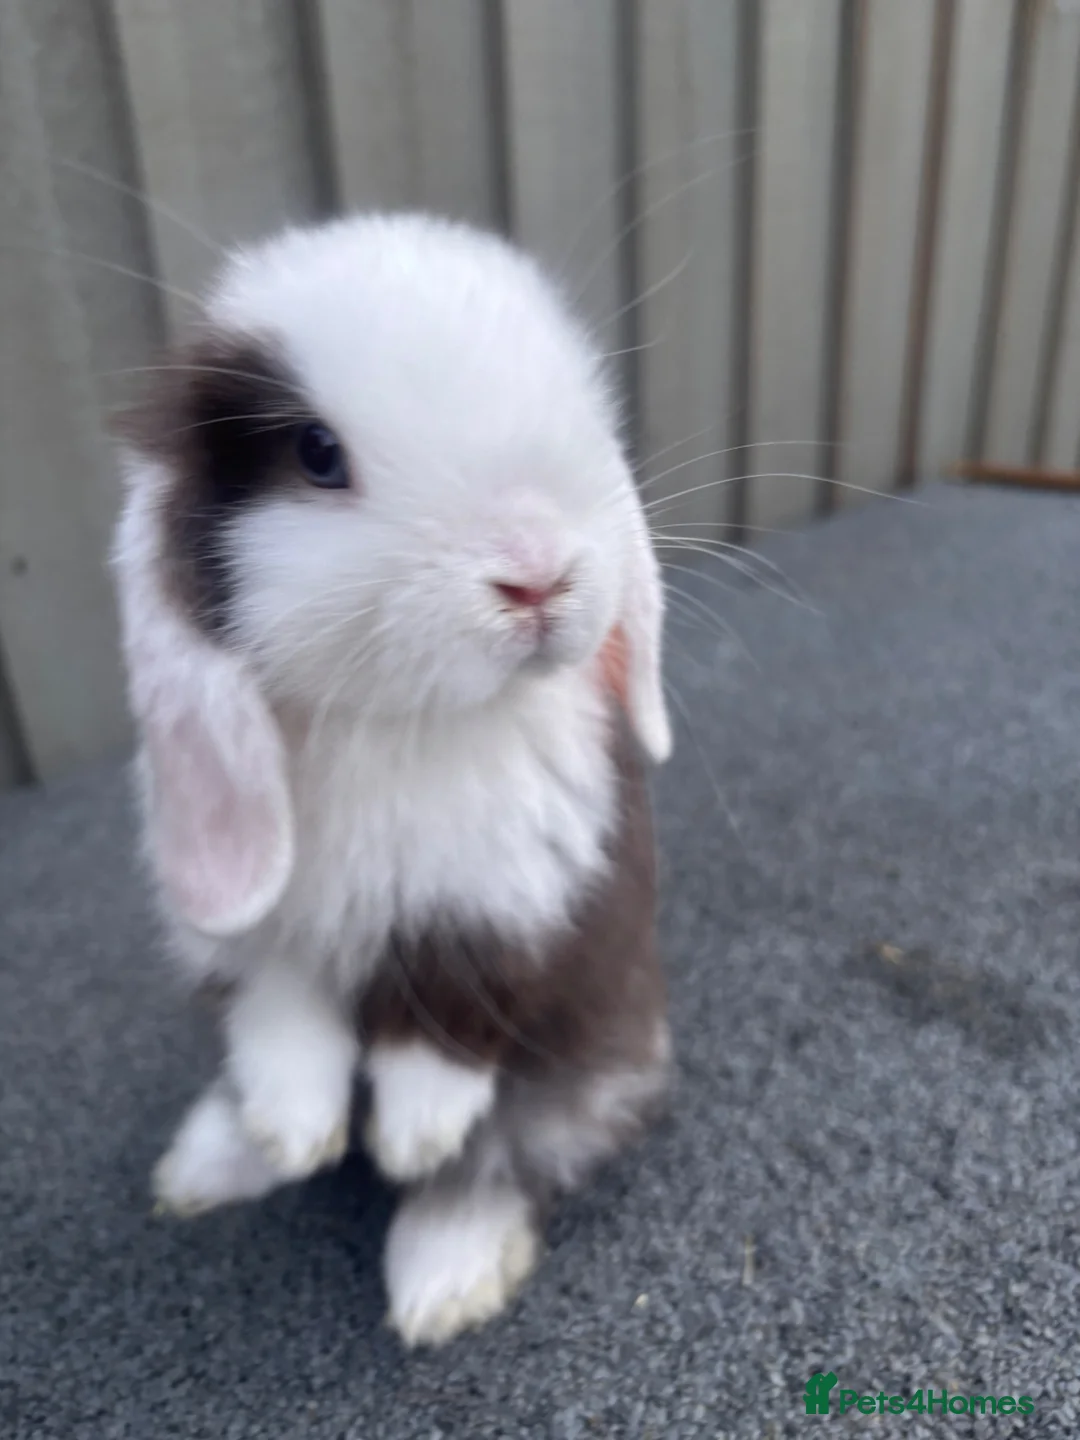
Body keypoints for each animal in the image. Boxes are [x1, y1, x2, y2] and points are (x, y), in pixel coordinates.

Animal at [110, 210, 672, 1348]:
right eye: (317, 454)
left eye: (581, 405)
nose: (536, 574)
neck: (405, 725)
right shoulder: (248, 930)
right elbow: (280, 1016)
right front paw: (297, 1133)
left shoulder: (505, 905)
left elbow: (447, 1022)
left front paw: (409, 1133)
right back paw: (212, 1162)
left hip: (588, 1060)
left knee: (503, 1158)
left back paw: (443, 1277)